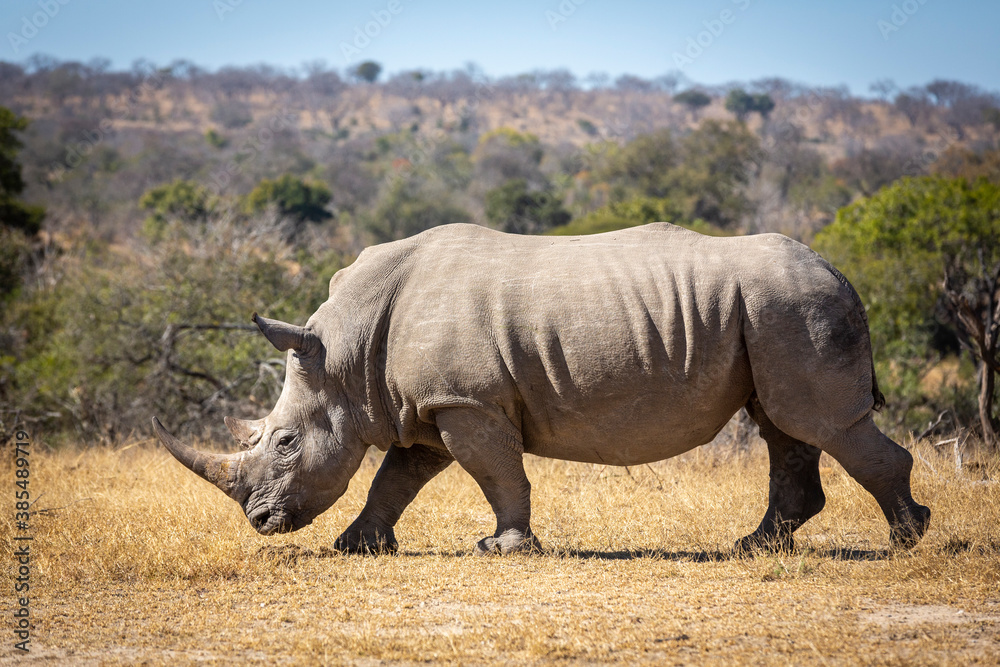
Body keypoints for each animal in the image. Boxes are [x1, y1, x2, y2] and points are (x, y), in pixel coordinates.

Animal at [153, 223, 930, 555]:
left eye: (285, 441)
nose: (260, 521)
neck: (344, 352)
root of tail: (839, 270)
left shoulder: (464, 400)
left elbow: (496, 472)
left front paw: (502, 547)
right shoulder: (431, 402)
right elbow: (395, 478)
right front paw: (356, 546)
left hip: (794, 306)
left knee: (821, 422)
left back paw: (906, 539)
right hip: (773, 312)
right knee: (784, 426)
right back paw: (756, 546)